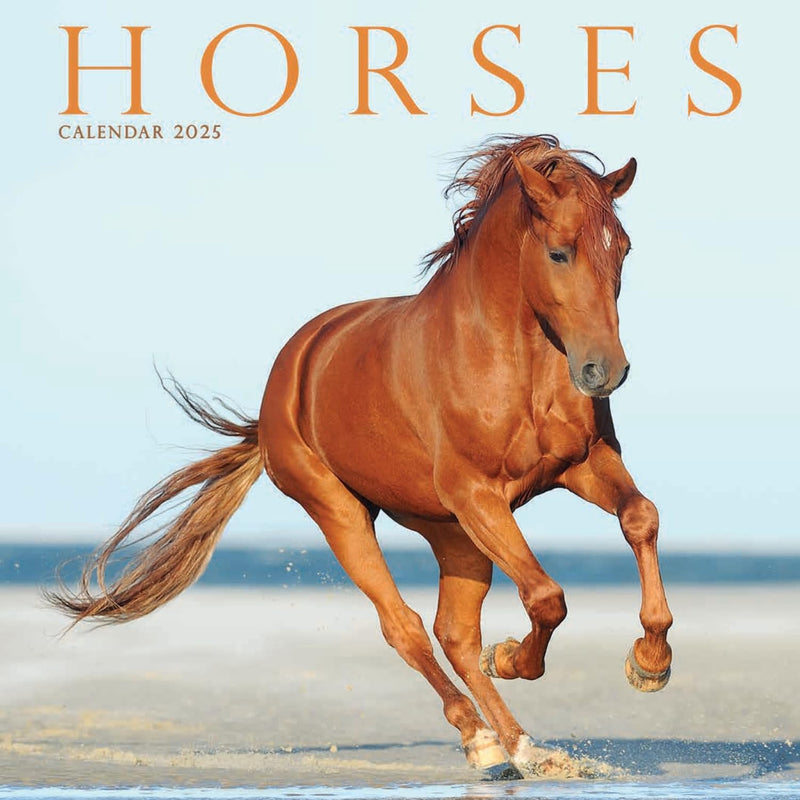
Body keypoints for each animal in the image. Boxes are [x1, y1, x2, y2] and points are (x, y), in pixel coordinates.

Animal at [49, 134, 673, 779]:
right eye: (558, 253)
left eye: (622, 249)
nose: (605, 371)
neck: (511, 358)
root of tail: (286, 379)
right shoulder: (476, 493)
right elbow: (546, 598)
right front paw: (512, 658)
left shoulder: (581, 466)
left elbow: (639, 517)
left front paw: (650, 662)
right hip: (344, 512)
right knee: (407, 628)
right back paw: (483, 739)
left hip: (453, 534)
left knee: (454, 635)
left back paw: (525, 749)